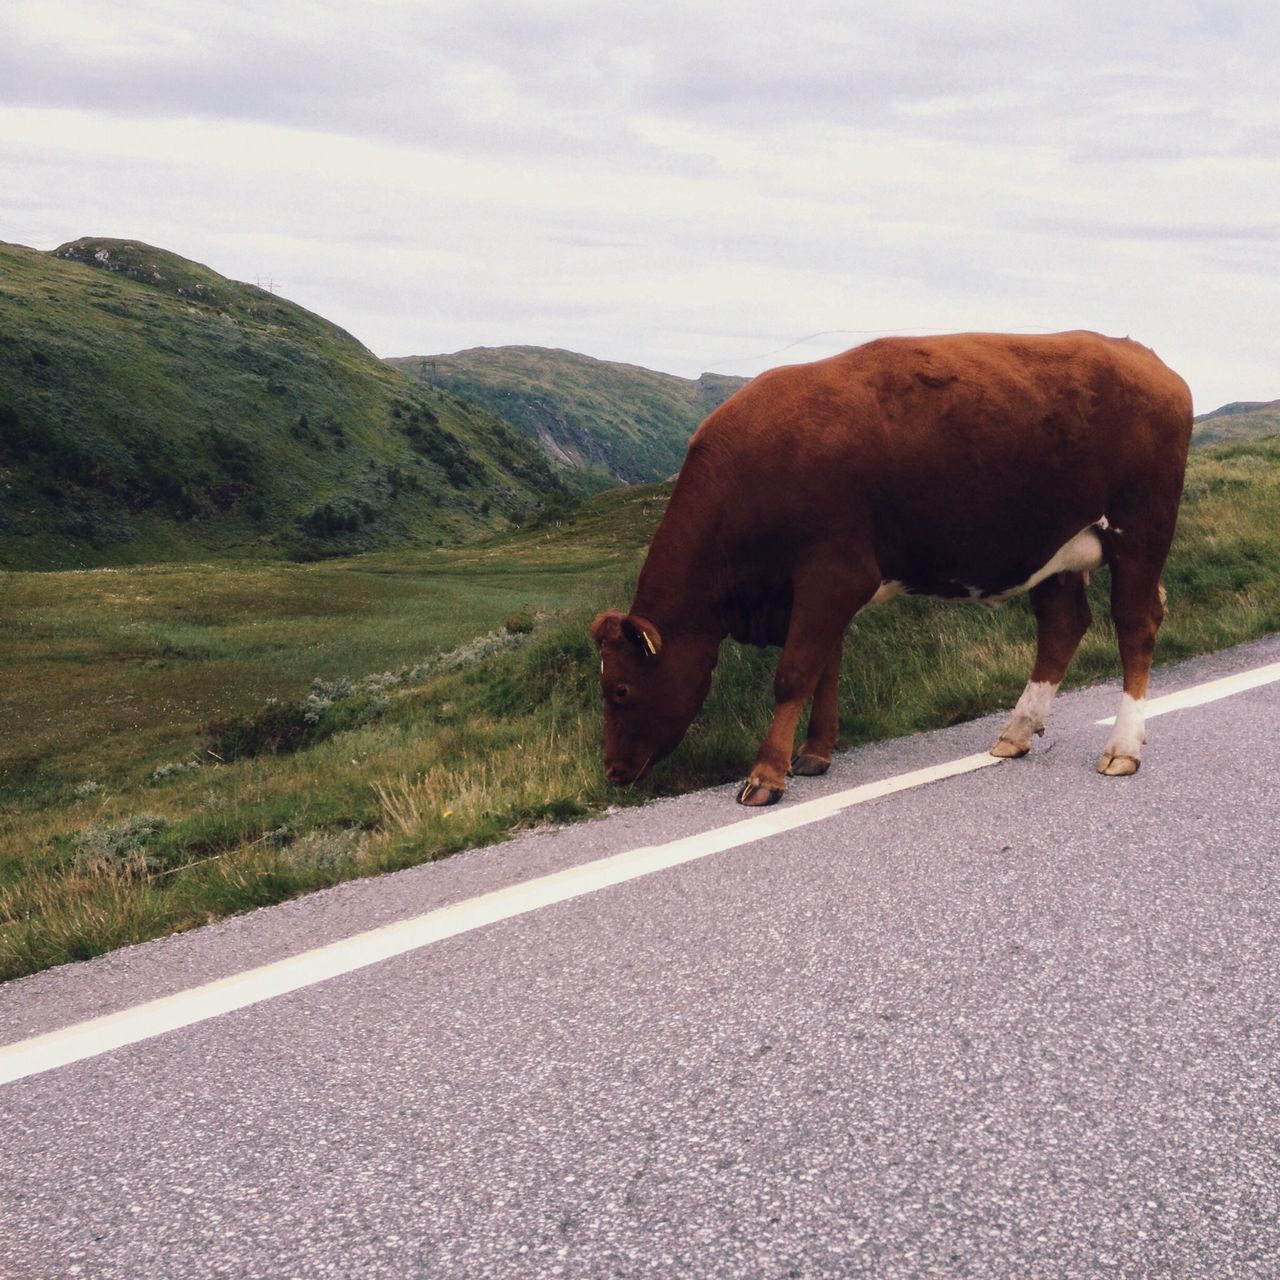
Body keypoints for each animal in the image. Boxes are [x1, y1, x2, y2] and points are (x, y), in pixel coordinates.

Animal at [593, 335, 1192, 803]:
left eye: (619, 690)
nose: (613, 772)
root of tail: (1143, 357)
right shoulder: (818, 591)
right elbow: (825, 668)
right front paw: (814, 754)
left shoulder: (833, 574)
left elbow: (794, 674)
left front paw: (765, 775)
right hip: (1057, 552)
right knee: (1063, 627)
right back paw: (1016, 732)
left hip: (1140, 532)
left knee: (1135, 626)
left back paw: (1121, 748)